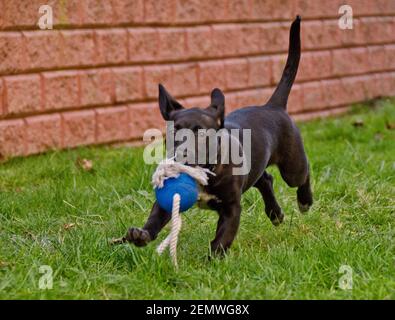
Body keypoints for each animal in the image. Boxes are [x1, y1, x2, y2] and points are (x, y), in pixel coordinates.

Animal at [122, 15, 314, 255]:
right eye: (173, 132)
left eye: (202, 133)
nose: (182, 155)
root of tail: (273, 106)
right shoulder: (168, 202)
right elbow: (155, 219)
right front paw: (141, 235)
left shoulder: (231, 207)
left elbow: (222, 238)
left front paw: (213, 259)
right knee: (265, 179)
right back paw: (275, 213)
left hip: (292, 166)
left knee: (303, 174)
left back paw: (305, 201)